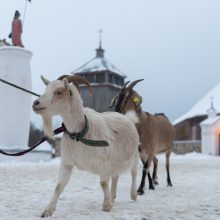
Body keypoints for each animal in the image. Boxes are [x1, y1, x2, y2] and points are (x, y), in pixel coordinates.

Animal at [32, 75, 139, 217]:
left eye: (58, 92)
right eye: (46, 89)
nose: (35, 103)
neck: (80, 133)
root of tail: (128, 119)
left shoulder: (103, 163)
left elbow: (103, 183)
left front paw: (106, 206)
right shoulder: (67, 163)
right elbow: (59, 186)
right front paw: (48, 210)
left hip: (134, 156)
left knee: (134, 173)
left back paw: (133, 195)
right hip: (114, 162)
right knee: (115, 176)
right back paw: (112, 197)